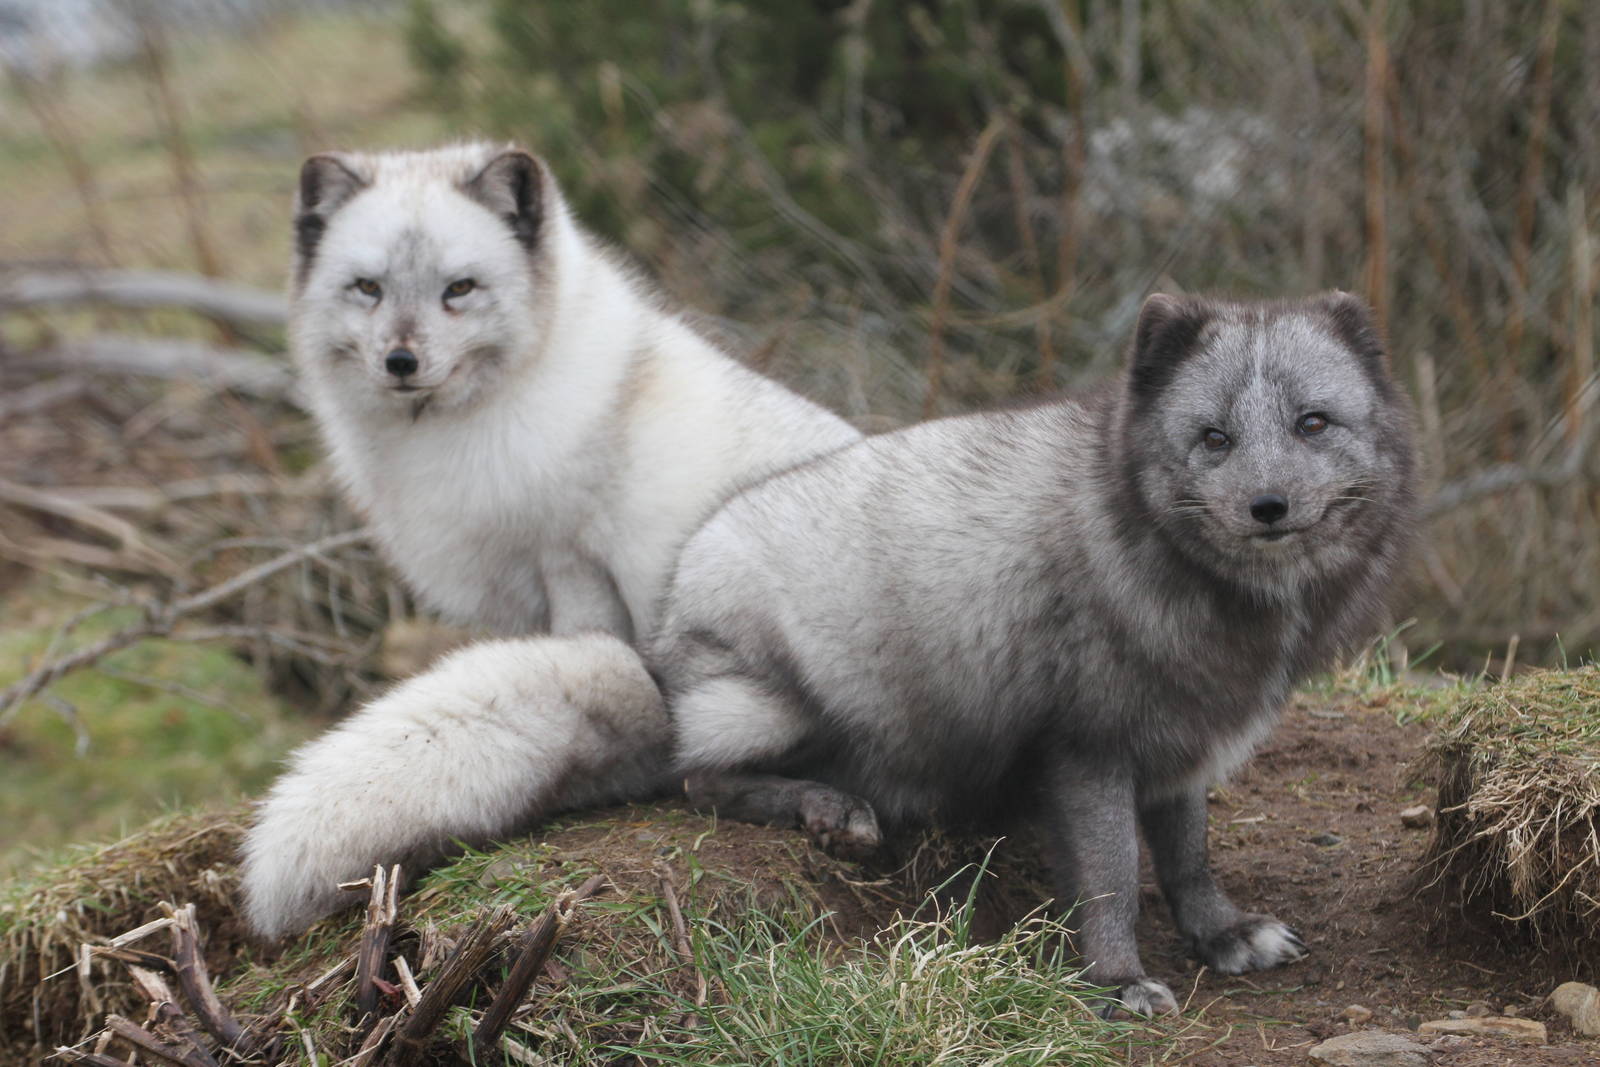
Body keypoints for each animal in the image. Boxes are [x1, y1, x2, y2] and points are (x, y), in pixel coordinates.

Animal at [241, 143, 859, 939]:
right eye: (367, 288)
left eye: (460, 289)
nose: (401, 362)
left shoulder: (573, 559)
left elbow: (584, 634)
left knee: (703, 774)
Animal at [651, 291, 1419, 1013]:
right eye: (1215, 438)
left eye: (1312, 423)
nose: (1268, 505)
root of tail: (674, 585)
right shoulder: (1087, 744)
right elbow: (1112, 876)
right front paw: (1117, 981)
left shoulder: (1183, 732)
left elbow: (1187, 855)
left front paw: (1221, 932)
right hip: (776, 704)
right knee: (698, 780)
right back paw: (830, 807)